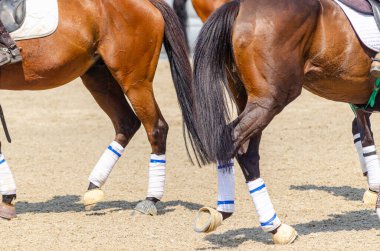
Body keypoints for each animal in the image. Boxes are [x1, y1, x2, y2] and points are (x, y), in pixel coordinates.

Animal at [0, 0, 193, 220]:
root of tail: (147, 4)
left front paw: (8, 197)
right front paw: (7, 198)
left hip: (135, 81)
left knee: (156, 127)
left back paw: (149, 200)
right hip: (99, 77)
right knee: (127, 123)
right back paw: (94, 187)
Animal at [180, 0, 380, 244]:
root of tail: (240, 6)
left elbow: (364, 134)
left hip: (249, 99)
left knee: (247, 152)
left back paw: (274, 227)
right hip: (270, 100)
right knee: (233, 141)